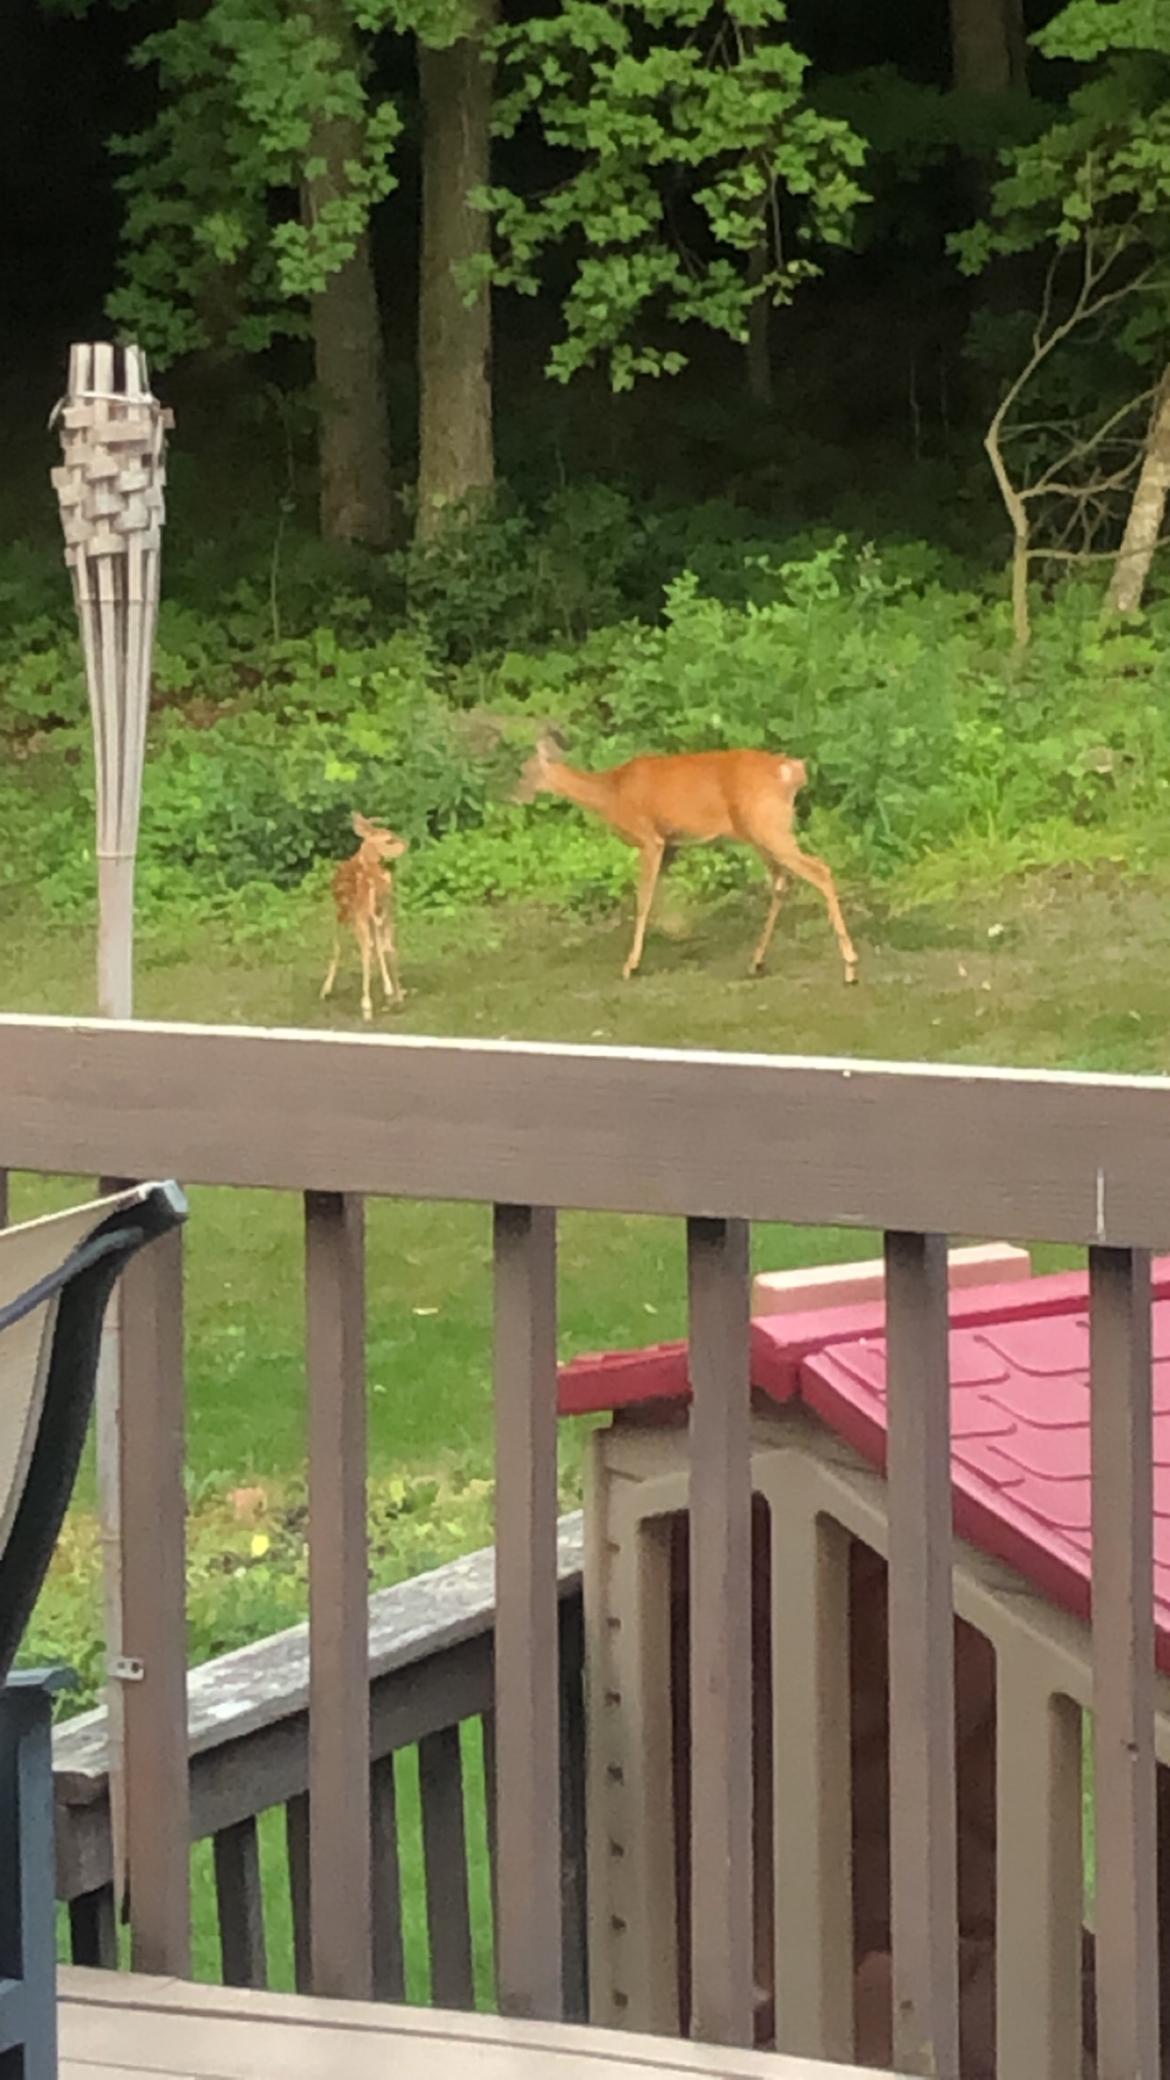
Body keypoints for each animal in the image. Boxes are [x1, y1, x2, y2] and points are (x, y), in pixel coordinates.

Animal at [320, 813, 408, 1021]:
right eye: (389, 839)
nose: (407, 844)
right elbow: (379, 948)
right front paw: (388, 992)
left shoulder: (343, 914)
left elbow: (337, 948)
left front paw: (325, 990)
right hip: (387, 912)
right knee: (389, 947)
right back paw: (397, 998)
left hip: (360, 916)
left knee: (367, 950)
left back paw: (367, 1006)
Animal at [514, 735, 858, 985]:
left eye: (524, 770)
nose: (513, 795)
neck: (611, 793)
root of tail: (791, 771)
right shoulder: (670, 845)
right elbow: (661, 895)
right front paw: (676, 932)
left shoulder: (649, 837)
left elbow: (643, 899)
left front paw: (631, 965)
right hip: (760, 831)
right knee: (782, 880)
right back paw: (756, 961)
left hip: (768, 826)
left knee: (819, 869)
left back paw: (850, 966)